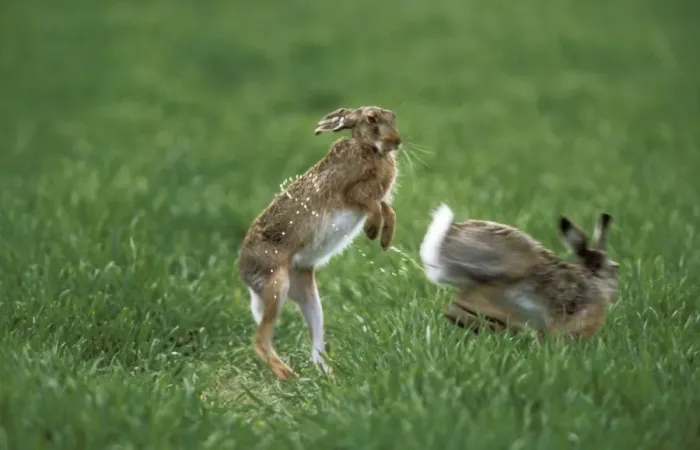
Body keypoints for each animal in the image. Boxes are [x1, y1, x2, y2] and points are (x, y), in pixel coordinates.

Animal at [237, 106, 402, 380]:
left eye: (393, 116)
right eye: (371, 118)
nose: (397, 142)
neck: (367, 147)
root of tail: (243, 272)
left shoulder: (377, 198)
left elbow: (388, 209)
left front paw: (385, 238)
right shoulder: (351, 193)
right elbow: (371, 204)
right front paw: (371, 229)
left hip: (307, 293)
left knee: (315, 340)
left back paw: (328, 377)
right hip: (276, 284)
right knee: (260, 340)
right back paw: (289, 376)